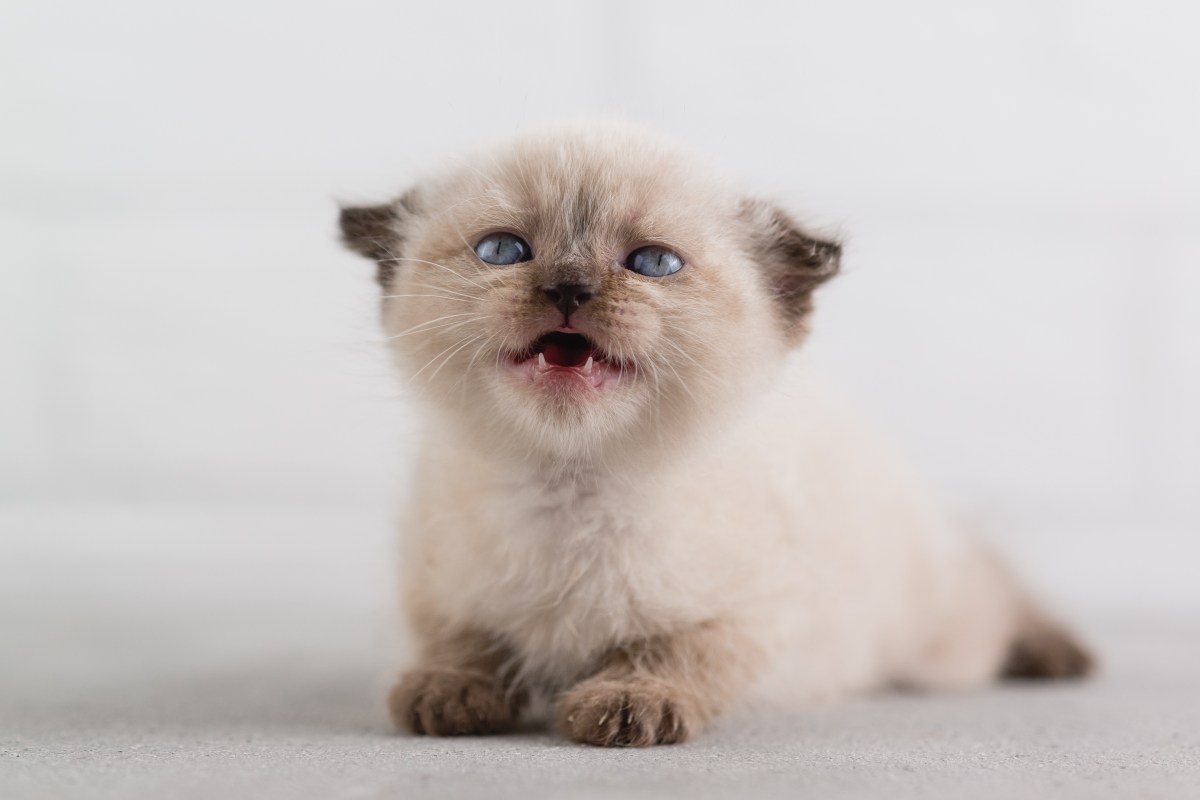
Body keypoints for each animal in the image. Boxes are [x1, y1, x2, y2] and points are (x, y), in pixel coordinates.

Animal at [340, 122, 1099, 748]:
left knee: (995, 586)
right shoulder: (436, 584)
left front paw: (630, 701)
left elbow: (679, 652)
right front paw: (448, 691)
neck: (570, 483)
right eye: (503, 250)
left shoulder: (751, 609)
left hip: (942, 641)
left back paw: (1057, 652)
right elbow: (460, 641)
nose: (568, 288)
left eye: (652, 264)